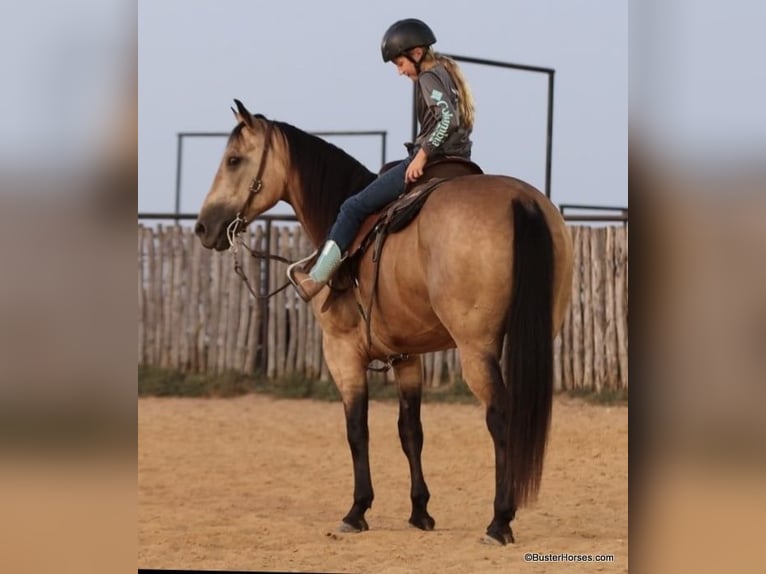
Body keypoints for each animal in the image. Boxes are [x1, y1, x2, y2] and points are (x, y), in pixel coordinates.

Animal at [195, 100, 574, 545]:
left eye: (234, 160)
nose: (203, 226)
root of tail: (521, 203)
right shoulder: (407, 357)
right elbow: (411, 430)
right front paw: (420, 511)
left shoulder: (342, 354)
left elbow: (357, 429)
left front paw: (357, 510)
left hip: (476, 350)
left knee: (500, 417)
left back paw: (499, 521)